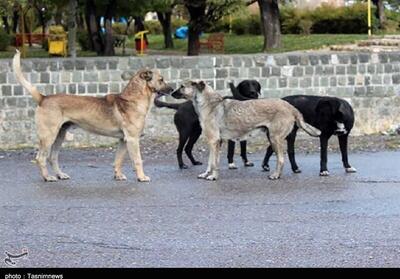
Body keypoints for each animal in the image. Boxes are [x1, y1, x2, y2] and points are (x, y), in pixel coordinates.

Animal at [12, 49, 172, 183]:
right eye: (161, 79)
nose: (172, 89)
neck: (133, 99)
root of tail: (43, 98)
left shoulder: (123, 140)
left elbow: (118, 160)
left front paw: (118, 175)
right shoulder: (132, 139)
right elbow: (138, 160)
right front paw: (141, 177)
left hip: (59, 136)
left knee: (52, 157)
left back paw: (60, 175)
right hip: (48, 136)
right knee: (41, 158)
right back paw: (47, 177)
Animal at [172, 81, 322, 182]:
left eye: (182, 86)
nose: (171, 92)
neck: (209, 104)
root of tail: (291, 107)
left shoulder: (214, 140)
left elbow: (214, 163)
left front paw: (213, 176)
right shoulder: (215, 141)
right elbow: (210, 162)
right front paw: (206, 174)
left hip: (275, 138)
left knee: (281, 159)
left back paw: (275, 175)